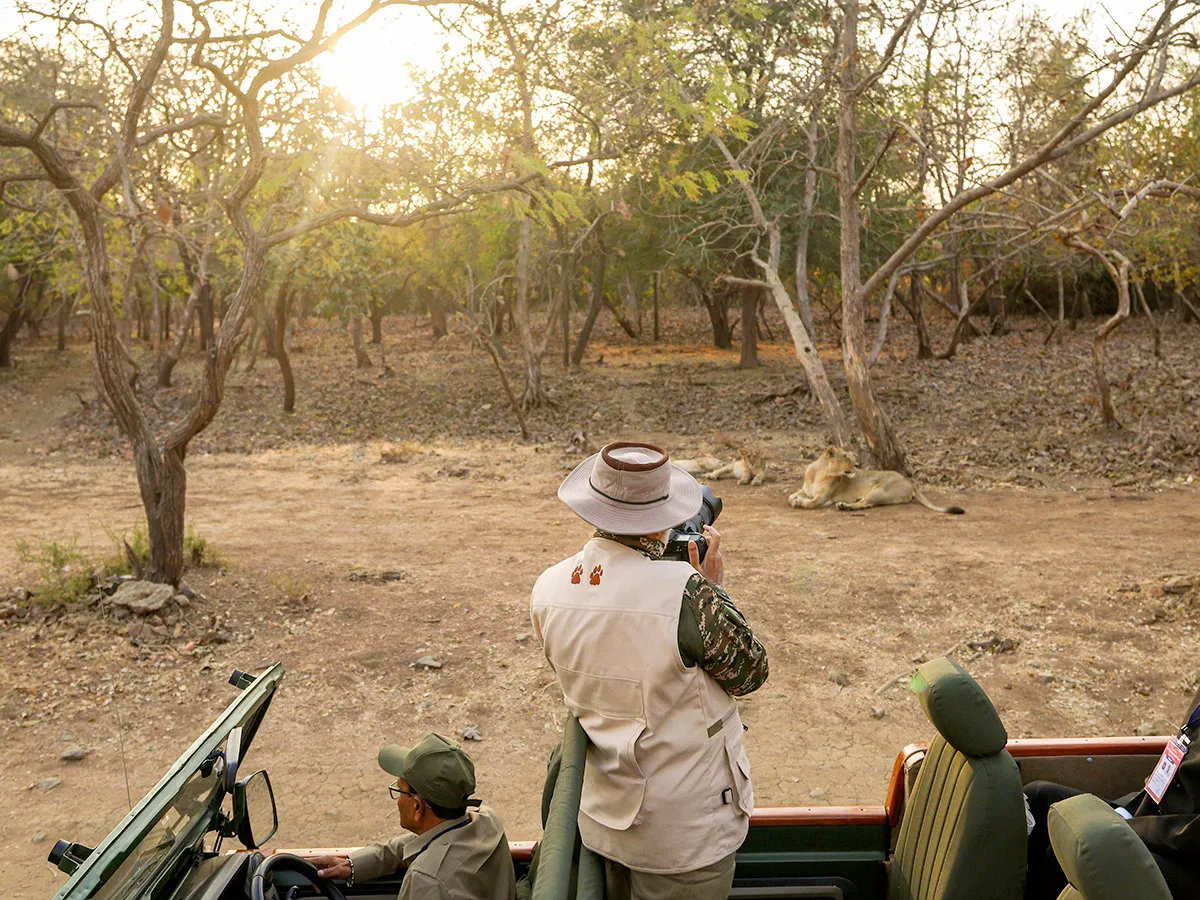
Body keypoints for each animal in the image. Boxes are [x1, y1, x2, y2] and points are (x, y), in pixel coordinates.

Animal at [787, 446, 964, 513]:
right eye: (845, 456)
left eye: (850, 456)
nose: (857, 464)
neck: (819, 473)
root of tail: (909, 482)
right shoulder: (806, 489)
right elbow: (789, 496)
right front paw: (794, 499)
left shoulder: (823, 497)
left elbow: (810, 503)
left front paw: (799, 502)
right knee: (865, 502)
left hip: (881, 491)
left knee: (867, 503)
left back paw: (845, 506)